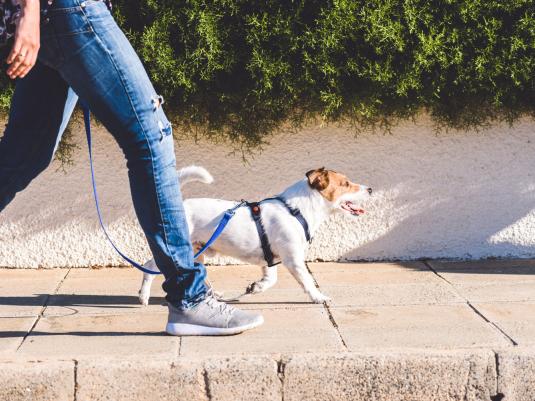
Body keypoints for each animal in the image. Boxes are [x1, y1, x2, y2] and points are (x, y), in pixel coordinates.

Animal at [138, 166, 372, 304]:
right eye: (346, 184)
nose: (370, 189)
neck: (296, 210)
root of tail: (180, 206)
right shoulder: (293, 259)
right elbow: (307, 280)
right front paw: (318, 297)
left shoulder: (270, 259)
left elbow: (270, 279)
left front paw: (256, 287)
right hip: (178, 250)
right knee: (149, 266)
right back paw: (143, 296)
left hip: (197, 252)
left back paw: (213, 295)